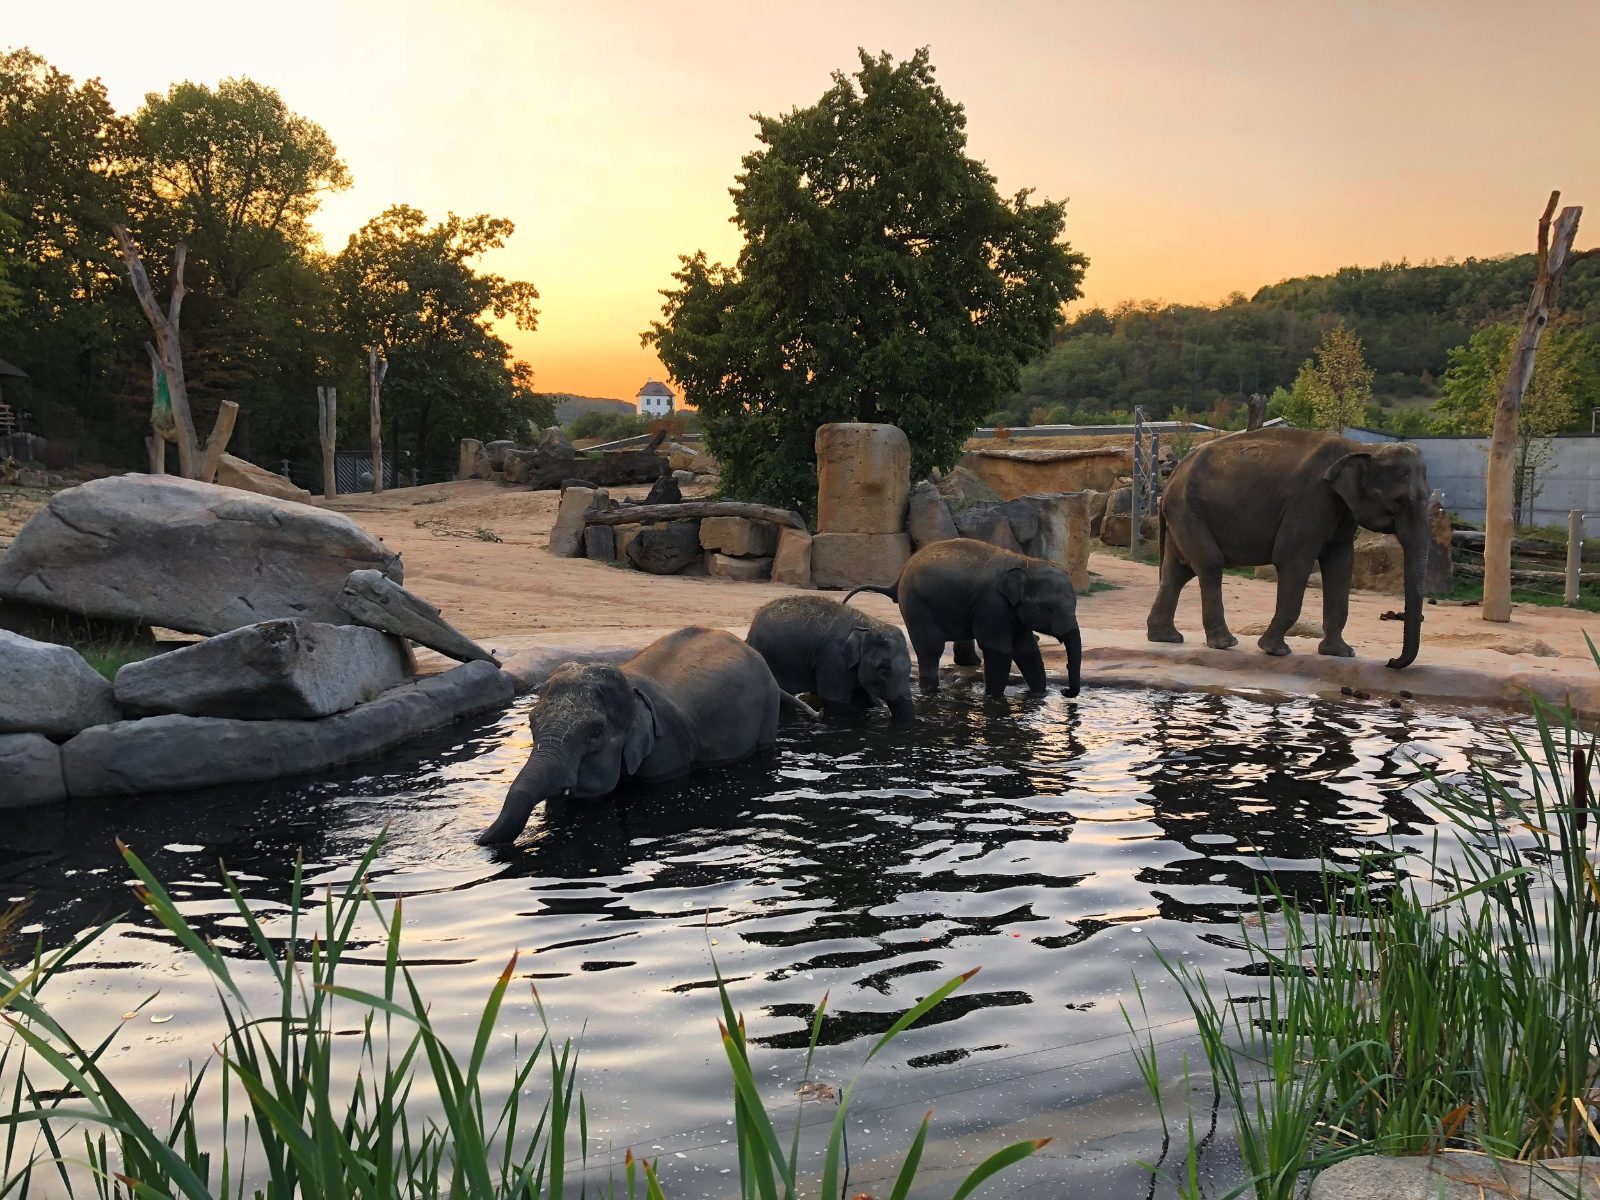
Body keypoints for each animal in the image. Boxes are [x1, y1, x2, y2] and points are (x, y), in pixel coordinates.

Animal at [478, 627, 813, 844]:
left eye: (596, 731)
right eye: (531, 723)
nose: (478, 839)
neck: (630, 685)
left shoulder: (666, 752)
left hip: (768, 708)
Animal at [745, 594, 915, 721]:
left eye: (909, 668)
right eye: (884, 668)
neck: (869, 625)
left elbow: (864, 697)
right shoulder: (833, 659)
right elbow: (836, 701)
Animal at [845, 538, 1083, 698]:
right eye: (1048, 609)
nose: (1065, 692)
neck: (1026, 562)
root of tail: (899, 577)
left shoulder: (1013, 611)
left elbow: (1027, 649)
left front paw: (1039, 696)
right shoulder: (991, 605)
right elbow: (999, 649)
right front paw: (994, 698)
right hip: (917, 605)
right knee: (930, 649)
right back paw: (931, 691)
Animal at [1146, 428, 1432, 668]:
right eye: (1398, 501)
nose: (1391, 661)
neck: (1362, 447)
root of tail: (1171, 477)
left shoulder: (1341, 511)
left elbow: (1340, 565)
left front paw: (1341, 653)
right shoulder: (1310, 501)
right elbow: (1293, 559)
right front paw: (1274, 651)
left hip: (1183, 514)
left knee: (1177, 572)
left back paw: (1166, 638)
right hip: (1188, 510)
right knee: (1210, 564)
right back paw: (1225, 644)